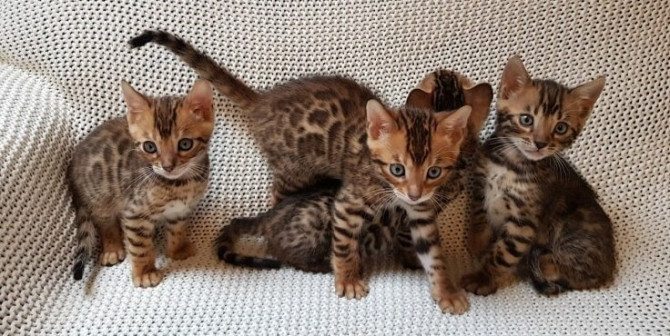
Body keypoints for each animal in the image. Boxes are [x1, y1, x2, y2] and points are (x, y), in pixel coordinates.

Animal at [69, 80, 214, 288]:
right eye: (150, 147)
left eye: (185, 144)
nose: (168, 166)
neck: (181, 183)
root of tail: (72, 166)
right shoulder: (135, 213)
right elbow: (140, 247)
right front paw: (145, 272)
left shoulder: (180, 210)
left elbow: (177, 230)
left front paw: (178, 249)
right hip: (101, 194)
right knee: (105, 222)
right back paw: (112, 248)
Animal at [129, 29, 494, 316]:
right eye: (397, 168)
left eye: (434, 171)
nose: (415, 192)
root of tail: (263, 101)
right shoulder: (352, 200)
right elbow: (347, 244)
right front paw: (348, 278)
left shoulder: (423, 210)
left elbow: (433, 253)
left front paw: (445, 292)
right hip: (294, 171)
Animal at [464, 56, 616, 296]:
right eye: (526, 120)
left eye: (561, 128)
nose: (541, 143)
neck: (511, 164)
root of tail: (608, 270)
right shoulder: (479, 183)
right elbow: (479, 214)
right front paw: (477, 242)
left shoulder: (524, 221)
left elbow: (504, 254)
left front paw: (483, 278)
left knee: (558, 267)